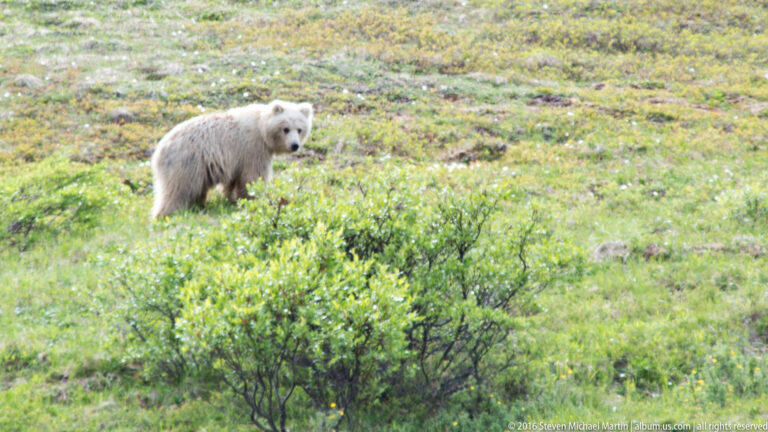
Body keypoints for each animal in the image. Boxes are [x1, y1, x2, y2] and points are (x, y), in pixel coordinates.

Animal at [151, 100, 313, 218]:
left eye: (300, 129)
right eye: (285, 129)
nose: (294, 145)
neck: (262, 130)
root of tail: (158, 151)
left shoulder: (236, 159)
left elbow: (233, 181)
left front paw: (231, 198)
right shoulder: (252, 149)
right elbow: (253, 176)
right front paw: (254, 198)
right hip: (187, 163)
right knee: (178, 190)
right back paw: (167, 213)